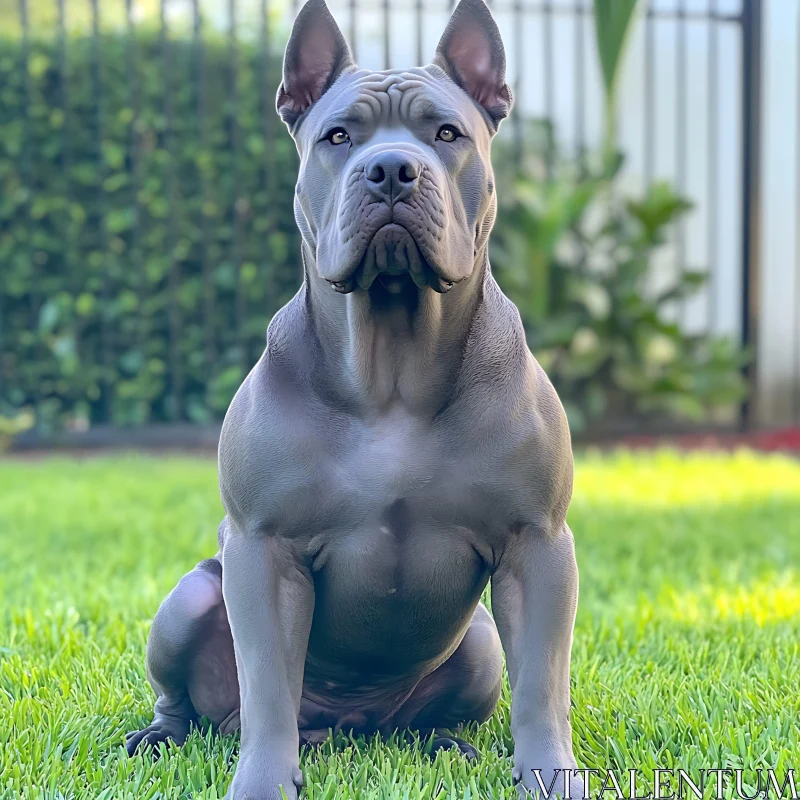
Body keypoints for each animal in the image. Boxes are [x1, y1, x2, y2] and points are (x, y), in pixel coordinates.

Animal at [128, 3, 584, 796]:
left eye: (447, 134)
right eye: (338, 137)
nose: (391, 168)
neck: (392, 362)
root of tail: (346, 728)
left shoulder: (539, 545)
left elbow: (542, 685)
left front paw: (549, 775)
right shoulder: (263, 550)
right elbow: (268, 687)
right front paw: (262, 781)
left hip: (480, 646)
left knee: (446, 705)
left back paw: (444, 744)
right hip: (189, 600)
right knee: (194, 700)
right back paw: (162, 737)